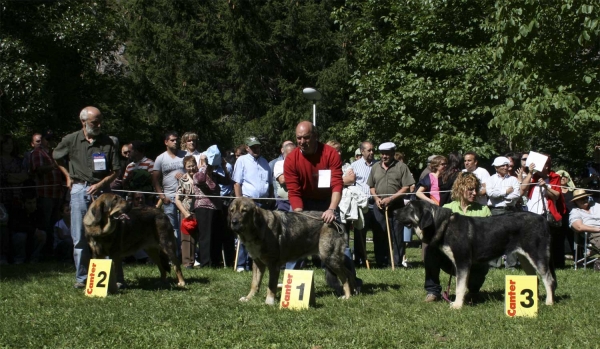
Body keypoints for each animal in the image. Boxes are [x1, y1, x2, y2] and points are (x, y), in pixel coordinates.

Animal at [398, 200, 556, 308]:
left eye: (409, 208)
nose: (394, 212)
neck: (445, 225)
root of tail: (543, 219)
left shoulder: (462, 261)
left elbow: (459, 286)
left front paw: (457, 305)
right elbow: (462, 285)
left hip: (538, 256)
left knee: (548, 280)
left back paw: (549, 302)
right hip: (526, 260)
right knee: (536, 279)